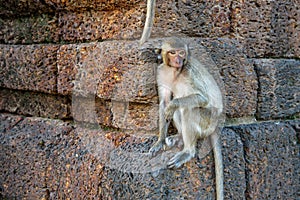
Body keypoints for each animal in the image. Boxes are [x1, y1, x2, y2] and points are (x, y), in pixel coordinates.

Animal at [149, 37, 224, 198]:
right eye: (172, 52)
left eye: (181, 53)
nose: (178, 60)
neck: (174, 71)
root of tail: (216, 124)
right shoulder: (161, 72)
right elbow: (164, 103)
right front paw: (160, 141)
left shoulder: (189, 73)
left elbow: (202, 99)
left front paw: (173, 104)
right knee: (180, 110)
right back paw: (179, 137)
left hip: (207, 121)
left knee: (189, 109)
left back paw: (188, 151)